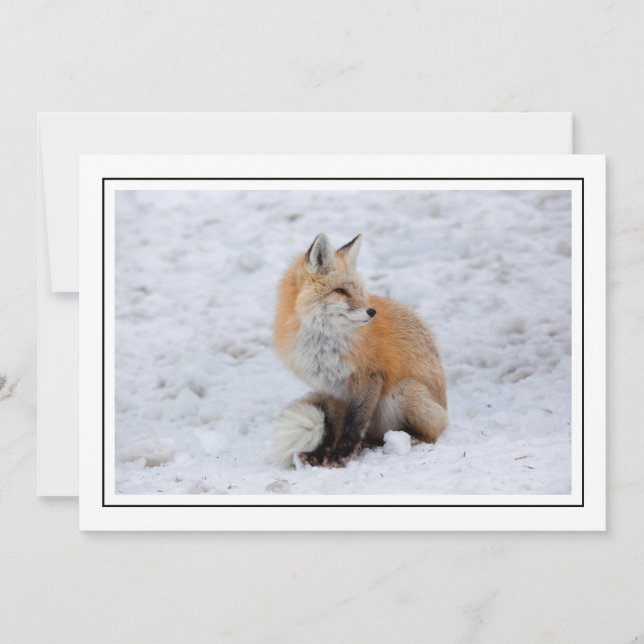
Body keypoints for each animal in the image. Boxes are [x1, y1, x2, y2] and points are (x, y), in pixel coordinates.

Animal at [272, 233, 447, 468]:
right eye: (341, 291)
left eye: (359, 291)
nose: (371, 312)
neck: (324, 346)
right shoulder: (328, 388)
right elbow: (332, 427)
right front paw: (321, 455)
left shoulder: (369, 375)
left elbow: (354, 422)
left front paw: (340, 456)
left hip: (404, 391)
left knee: (431, 435)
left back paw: (405, 440)